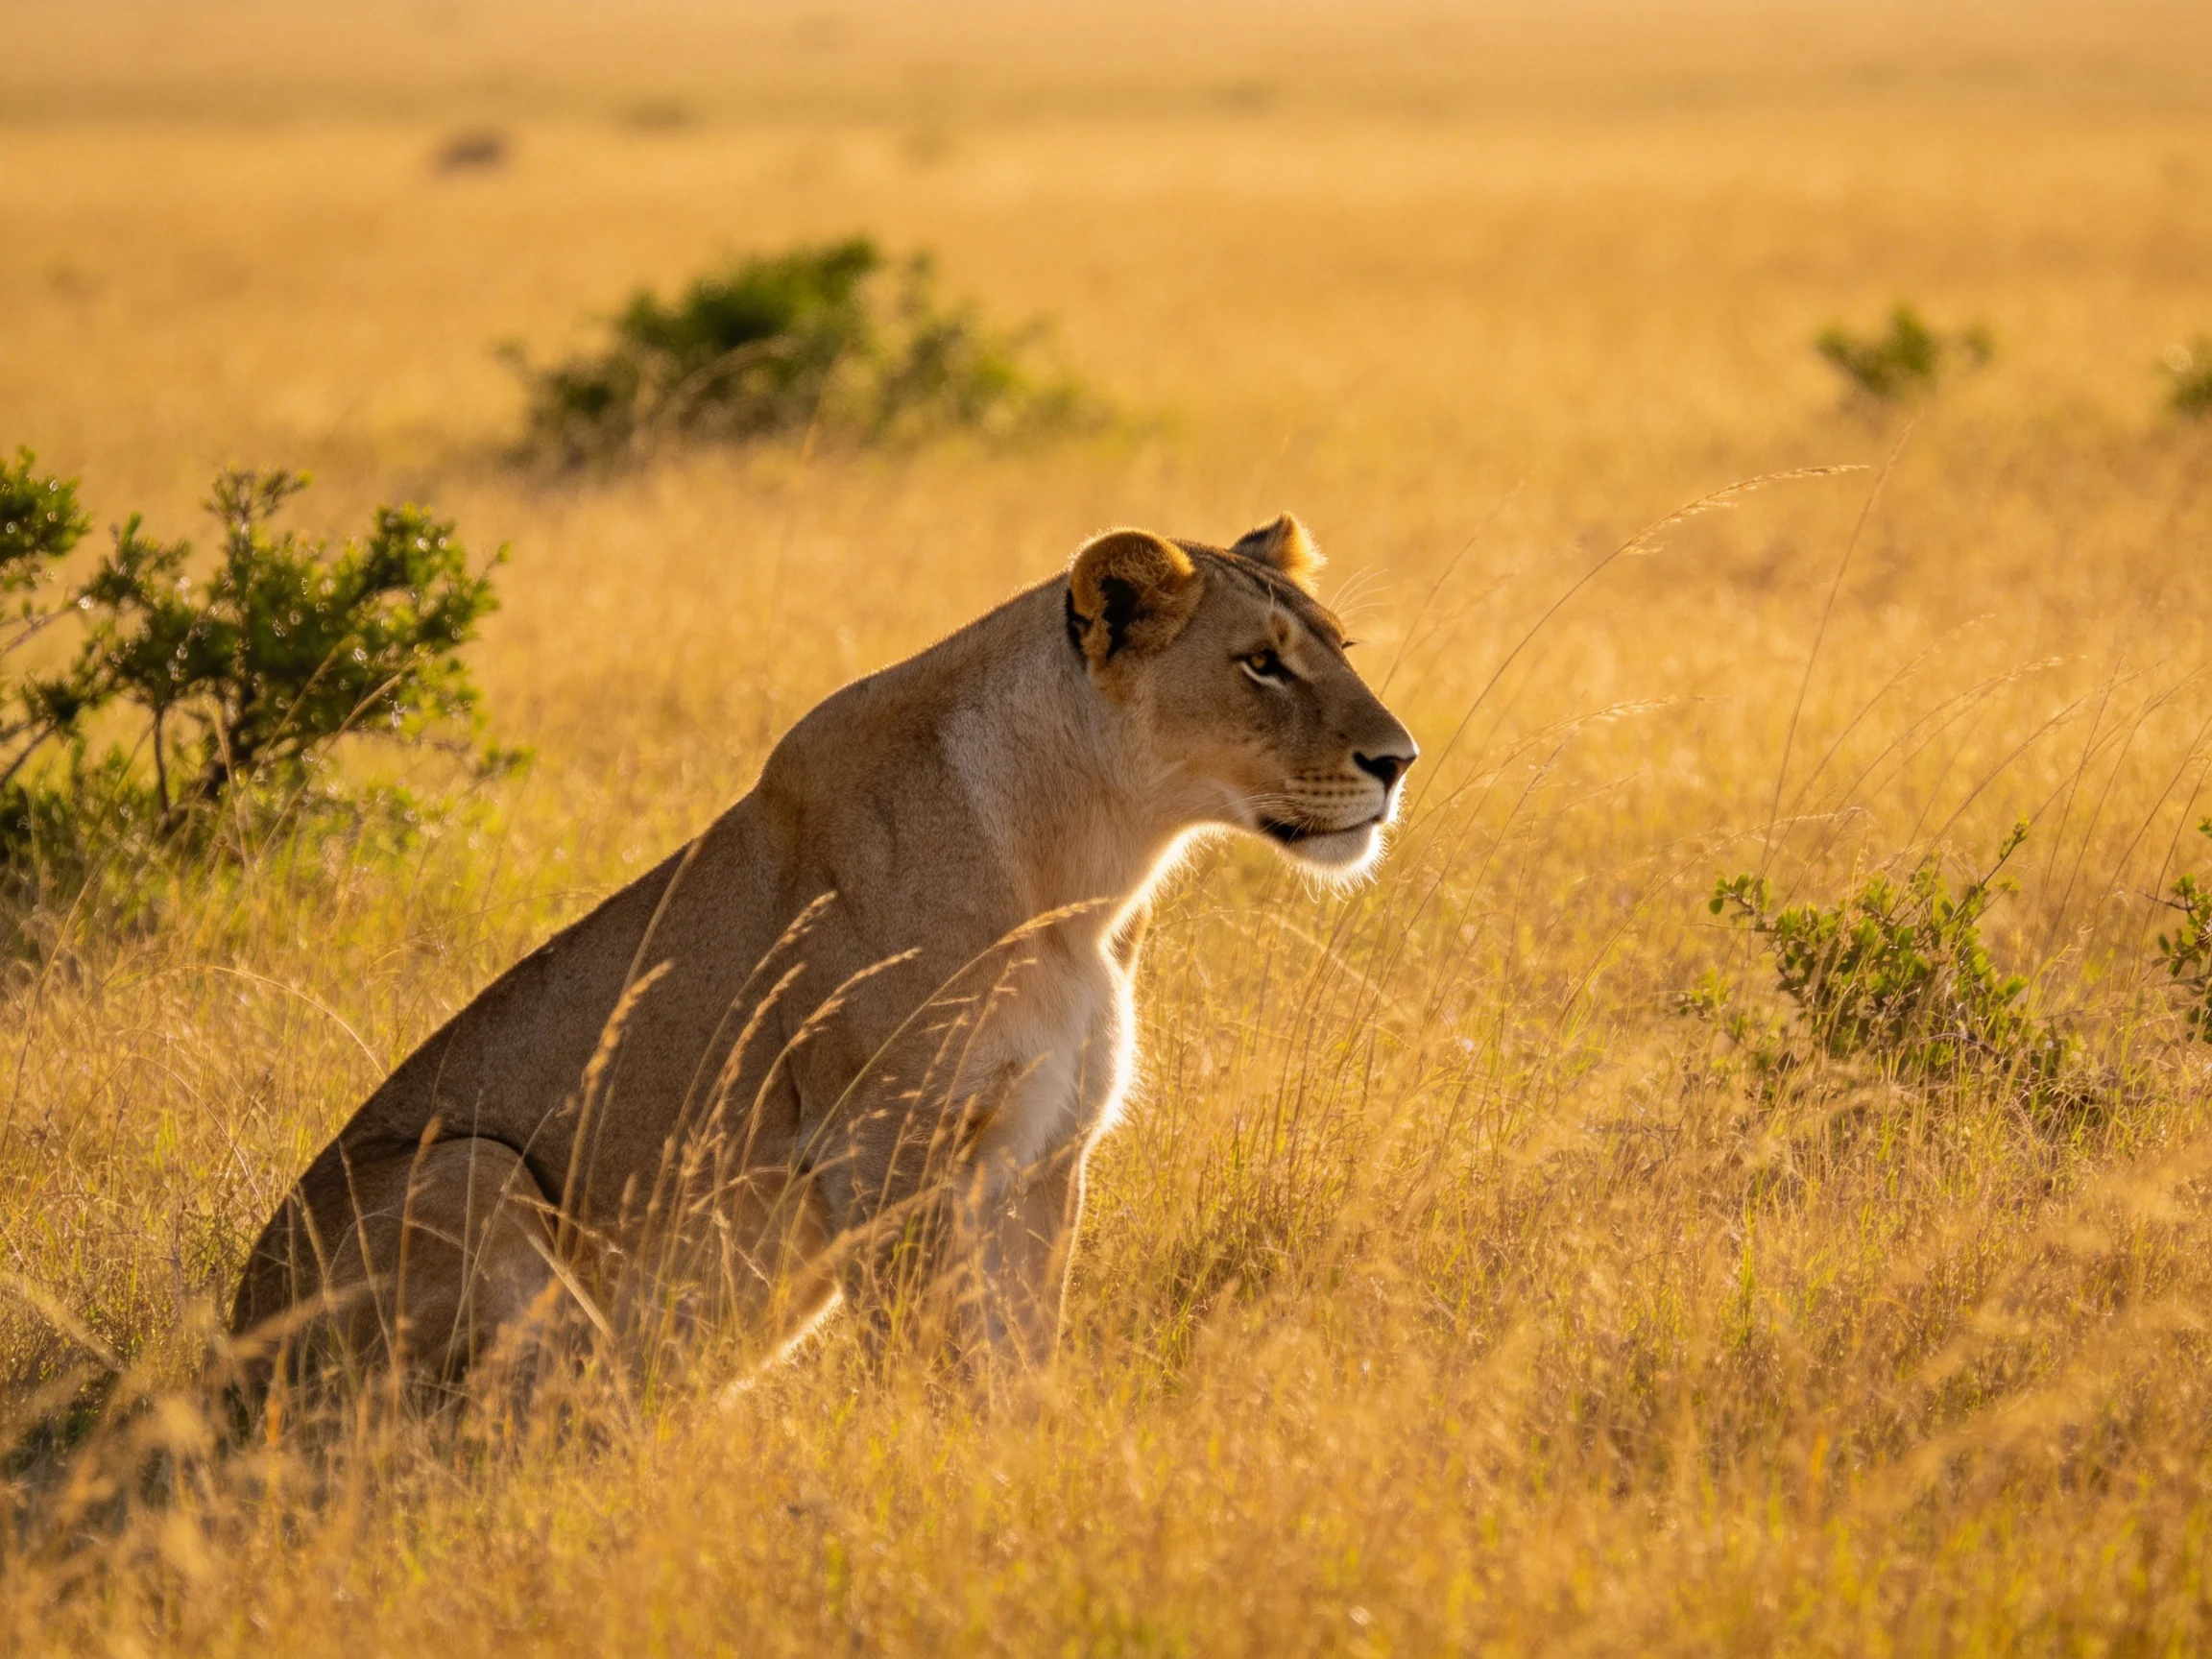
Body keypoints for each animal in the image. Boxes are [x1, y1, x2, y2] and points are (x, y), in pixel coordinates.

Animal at [227, 513, 1418, 1403]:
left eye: (1340, 651)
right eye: (1260, 664)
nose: (1398, 760)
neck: (1085, 873)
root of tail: (213, 1368)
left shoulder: (1044, 1154)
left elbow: (1021, 1364)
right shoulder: (881, 1147)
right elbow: (932, 1370)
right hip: (461, 1166)